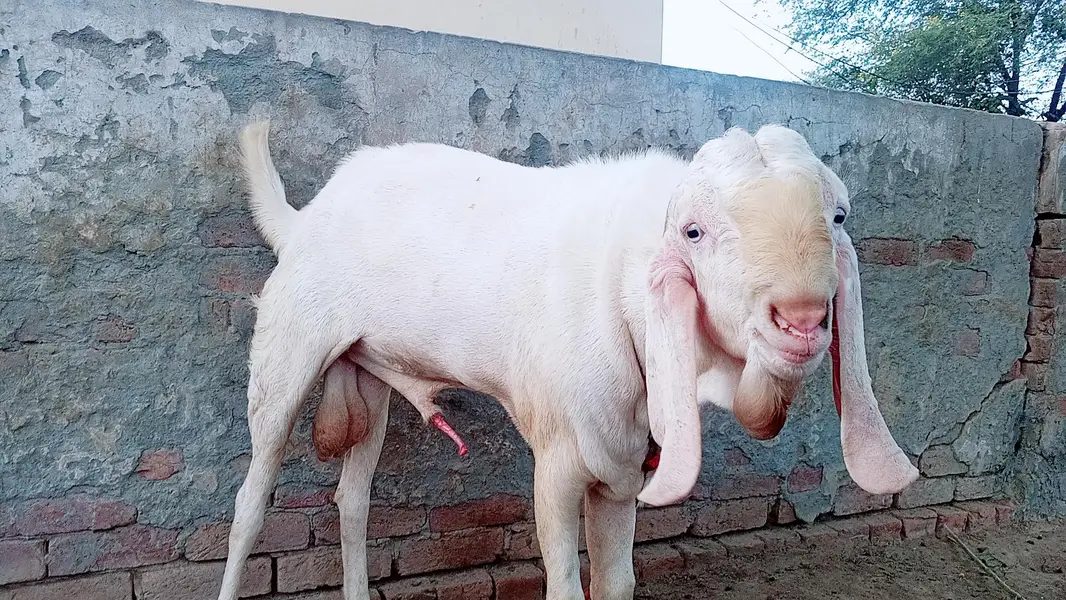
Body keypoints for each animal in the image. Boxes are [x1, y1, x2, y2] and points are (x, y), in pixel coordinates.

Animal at [215, 122, 919, 600]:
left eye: (838, 216)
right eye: (692, 231)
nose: (800, 320)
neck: (622, 290)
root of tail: (303, 220)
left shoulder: (620, 469)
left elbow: (615, 583)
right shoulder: (558, 460)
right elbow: (564, 585)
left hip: (368, 376)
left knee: (352, 501)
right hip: (286, 351)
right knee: (250, 502)